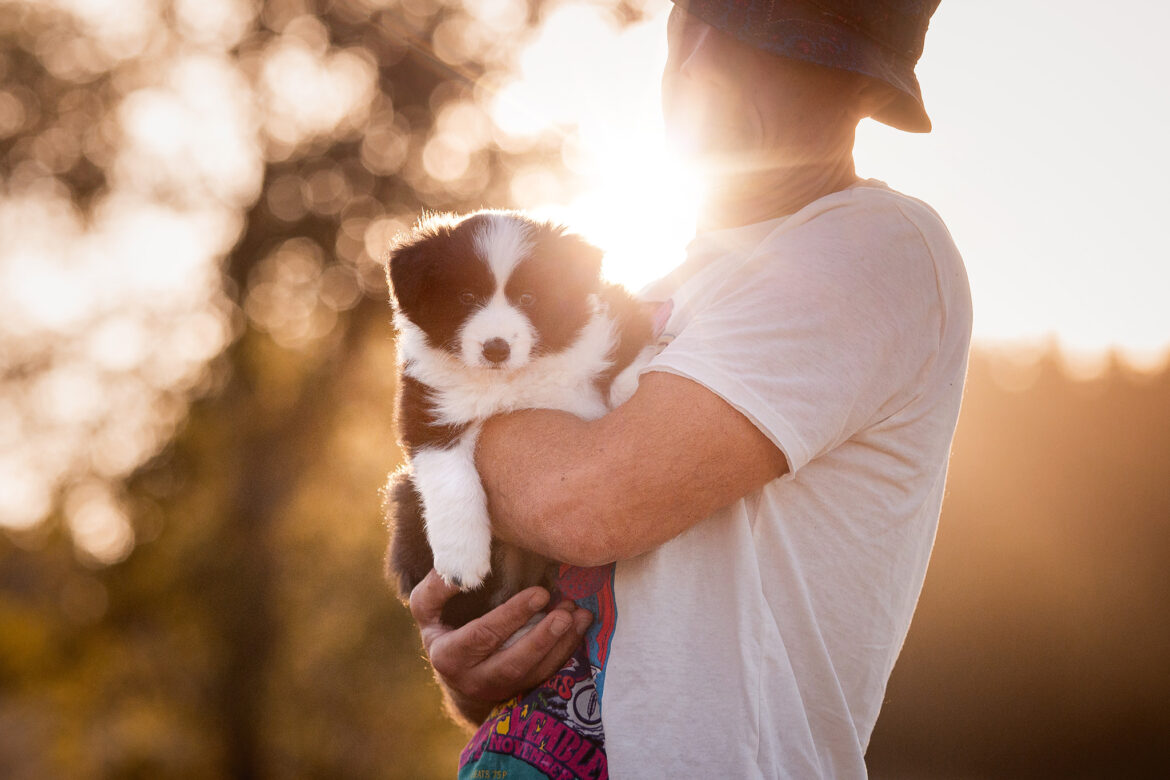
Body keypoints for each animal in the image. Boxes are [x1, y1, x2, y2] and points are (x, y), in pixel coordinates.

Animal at [386, 210, 655, 626]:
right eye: (466, 297)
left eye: (529, 297)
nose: (496, 348)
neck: (513, 377)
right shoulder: (429, 406)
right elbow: (449, 477)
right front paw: (462, 561)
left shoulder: (615, 315)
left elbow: (632, 349)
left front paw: (630, 386)